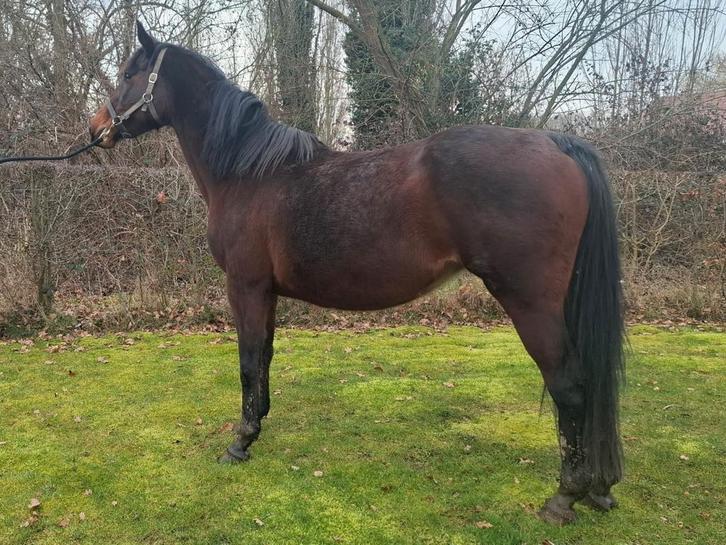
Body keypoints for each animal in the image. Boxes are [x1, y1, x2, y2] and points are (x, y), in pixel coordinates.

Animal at [89, 21, 625, 525]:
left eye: (128, 74)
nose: (96, 128)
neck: (247, 172)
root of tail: (559, 142)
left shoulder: (245, 286)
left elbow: (246, 362)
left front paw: (239, 442)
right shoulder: (267, 293)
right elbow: (265, 358)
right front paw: (258, 425)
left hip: (530, 302)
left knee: (571, 387)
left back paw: (565, 495)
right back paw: (599, 487)